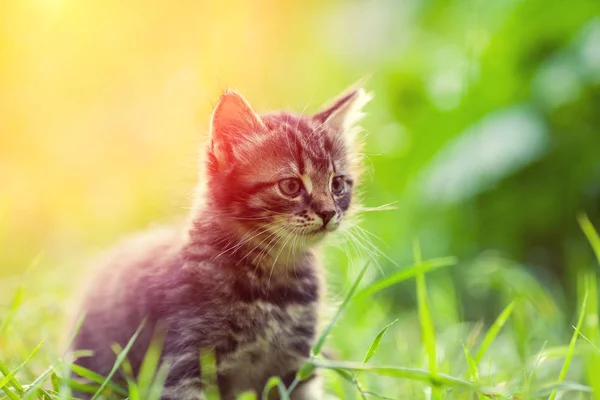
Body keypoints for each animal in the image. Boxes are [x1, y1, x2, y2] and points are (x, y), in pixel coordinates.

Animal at [70, 86, 370, 398]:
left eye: (337, 184)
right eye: (290, 186)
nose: (328, 213)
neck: (270, 283)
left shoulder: (296, 367)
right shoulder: (184, 363)